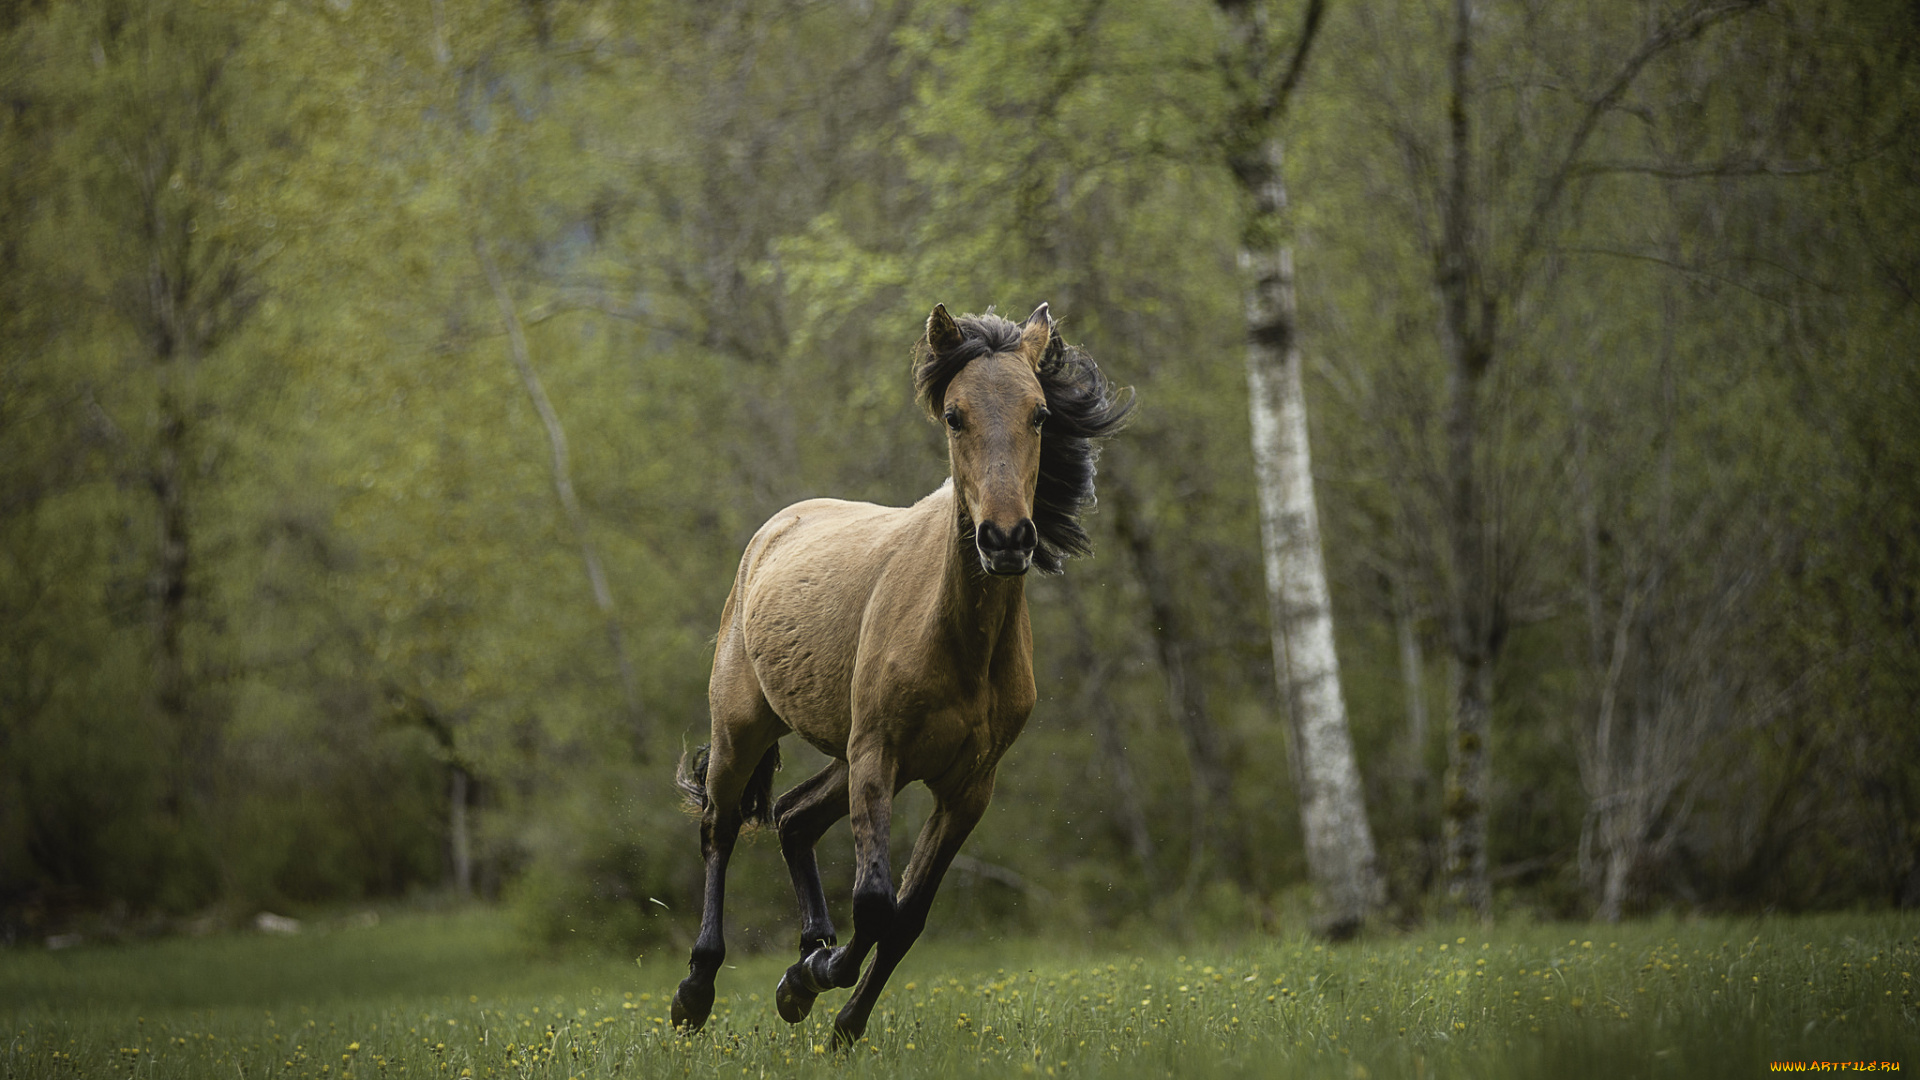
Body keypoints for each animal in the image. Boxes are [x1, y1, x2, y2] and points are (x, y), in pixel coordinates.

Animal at [672, 303, 1121, 1045]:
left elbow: (907, 918)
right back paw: (696, 991)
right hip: (744, 727)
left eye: (1039, 414)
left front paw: (836, 1016)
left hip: (852, 757)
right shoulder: (878, 753)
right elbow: (877, 902)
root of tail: (773, 530)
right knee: (721, 827)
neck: (958, 643)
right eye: (955, 416)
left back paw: (810, 946)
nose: (1006, 540)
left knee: (793, 818)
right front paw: (810, 979)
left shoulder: (967, 786)